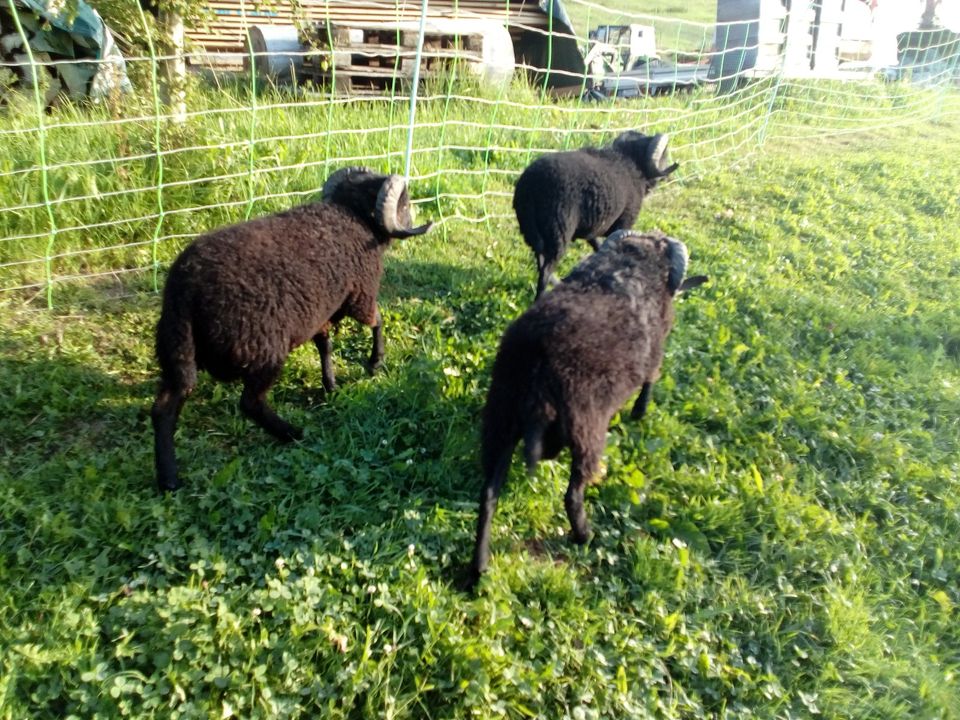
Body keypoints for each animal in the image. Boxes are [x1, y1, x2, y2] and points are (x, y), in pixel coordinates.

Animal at [149, 167, 432, 492]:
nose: (412, 221)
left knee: (164, 407)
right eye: (404, 202)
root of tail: (184, 289)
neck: (351, 216)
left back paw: (169, 478)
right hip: (262, 348)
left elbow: (324, 345)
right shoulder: (359, 295)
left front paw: (330, 385)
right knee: (250, 403)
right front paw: (376, 362)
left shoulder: (319, 312)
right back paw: (293, 433)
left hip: (176, 347)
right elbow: (378, 321)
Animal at [464, 228, 704, 588]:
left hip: (499, 419)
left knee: (489, 493)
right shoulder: (655, 353)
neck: (632, 263)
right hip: (586, 428)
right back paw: (584, 535)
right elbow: (650, 383)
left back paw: (478, 568)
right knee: (572, 494)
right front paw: (639, 413)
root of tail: (538, 368)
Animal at [512, 131, 680, 298]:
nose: (668, 177)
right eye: (665, 154)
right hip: (558, 231)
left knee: (540, 262)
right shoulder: (624, 222)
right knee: (546, 270)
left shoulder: (591, 229)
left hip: (532, 231)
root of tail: (531, 184)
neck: (631, 165)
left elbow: (598, 246)